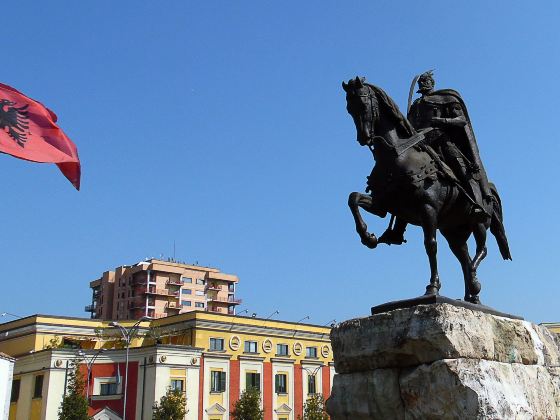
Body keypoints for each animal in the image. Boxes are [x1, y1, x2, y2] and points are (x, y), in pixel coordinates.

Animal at [342, 76, 512, 306]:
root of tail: (489, 190)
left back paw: (474, 283)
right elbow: (353, 199)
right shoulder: (383, 205)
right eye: (349, 108)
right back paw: (471, 296)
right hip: (454, 232)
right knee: (464, 258)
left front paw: (432, 287)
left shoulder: (428, 209)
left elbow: (430, 245)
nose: (364, 138)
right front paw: (367, 237)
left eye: (363, 103)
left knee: (480, 251)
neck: (397, 156)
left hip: (478, 223)